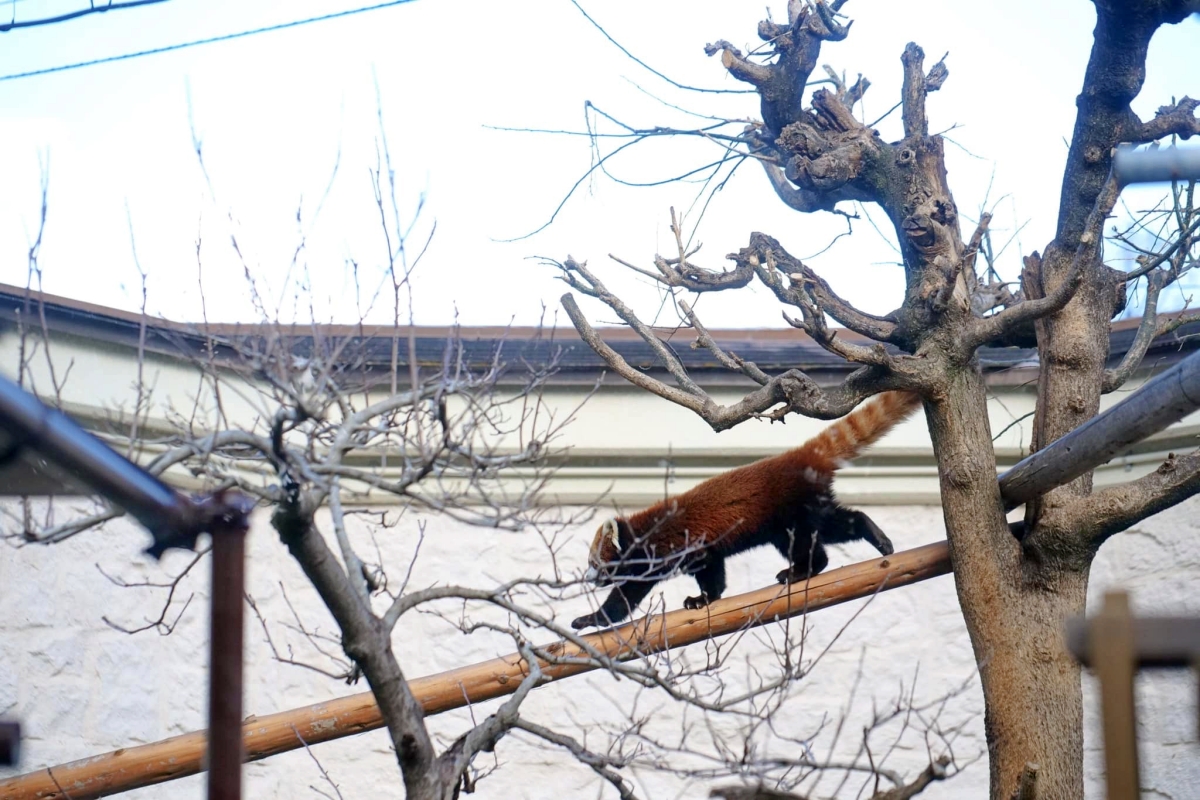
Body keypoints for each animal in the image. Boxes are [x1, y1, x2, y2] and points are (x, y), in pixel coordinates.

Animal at [568, 393, 916, 633]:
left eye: (594, 563)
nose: (588, 578)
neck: (643, 532)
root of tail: (799, 457)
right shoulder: (702, 550)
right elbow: (713, 572)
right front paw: (704, 599)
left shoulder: (668, 550)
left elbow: (626, 597)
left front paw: (590, 618)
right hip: (805, 507)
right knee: (839, 524)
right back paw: (876, 538)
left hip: (792, 510)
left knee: (812, 542)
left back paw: (801, 570)